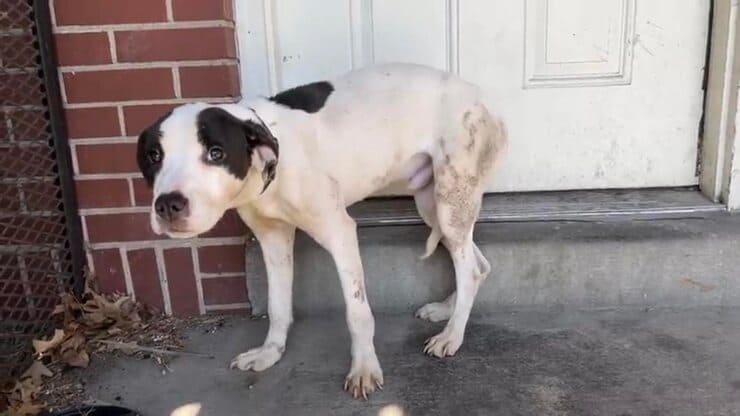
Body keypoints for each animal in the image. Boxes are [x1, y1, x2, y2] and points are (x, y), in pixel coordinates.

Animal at [136, 63, 506, 398]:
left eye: (216, 153)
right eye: (154, 156)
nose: (168, 205)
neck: (271, 161)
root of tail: (481, 101)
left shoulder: (340, 232)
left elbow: (357, 313)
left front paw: (364, 368)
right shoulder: (272, 239)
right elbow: (278, 305)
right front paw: (270, 353)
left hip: (450, 202)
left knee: (469, 269)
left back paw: (452, 335)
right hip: (434, 207)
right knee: (478, 264)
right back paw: (447, 310)